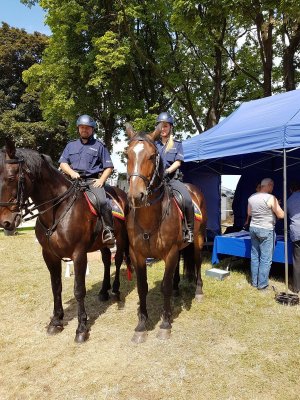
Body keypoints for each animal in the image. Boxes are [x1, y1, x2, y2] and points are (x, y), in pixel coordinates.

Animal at [0, 140, 131, 340]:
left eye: (10, 178)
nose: (5, 222)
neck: (58, 209)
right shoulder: (49, 255)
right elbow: (56, 287)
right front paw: (56, 322)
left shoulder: (79, 254)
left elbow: (79, 290)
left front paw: (82, 328)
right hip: (102, 244)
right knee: (106, 260)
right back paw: (103, 291)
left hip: (121, 239)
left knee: (117, 261)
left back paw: (115, 290)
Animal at [125, 126, 206, 344]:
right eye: (127, 155)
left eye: (152, 156)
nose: (136, 196)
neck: (149, 218)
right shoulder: (137, 255)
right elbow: (142, 287)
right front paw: (141, 326)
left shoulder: (169, 253)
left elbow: (165, 286)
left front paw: (165, 323)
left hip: (198, 241)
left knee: (197, 263)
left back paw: (198, 291)